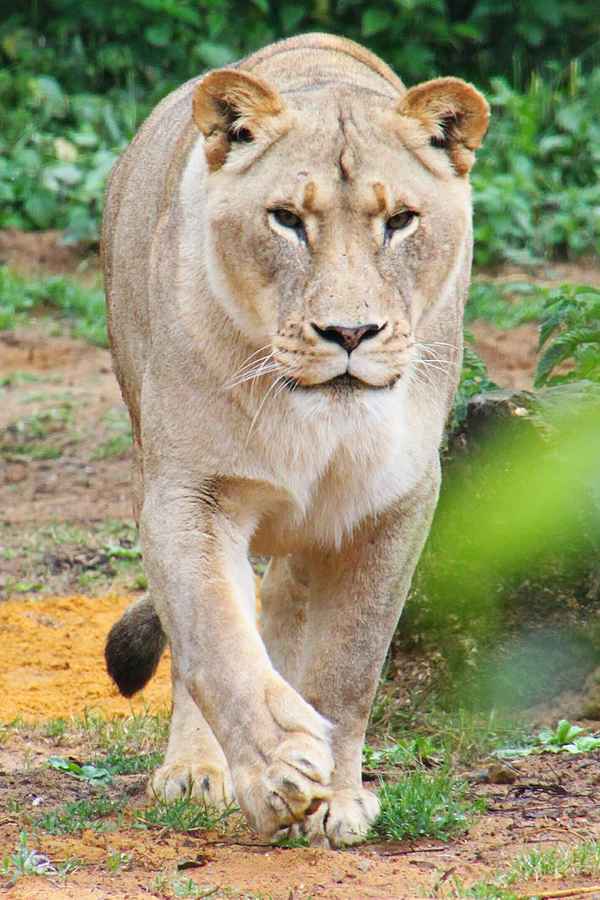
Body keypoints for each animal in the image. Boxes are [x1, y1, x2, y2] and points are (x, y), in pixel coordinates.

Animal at [102, 33, 488, 847]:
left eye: (400, 221)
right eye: (285, 219)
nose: (349, 333)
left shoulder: (395, 503)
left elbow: (349, 663)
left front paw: (337, 801)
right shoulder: (188, 491)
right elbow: (215, 639)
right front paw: (278, 771)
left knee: (282, 604)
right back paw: (197, 770)